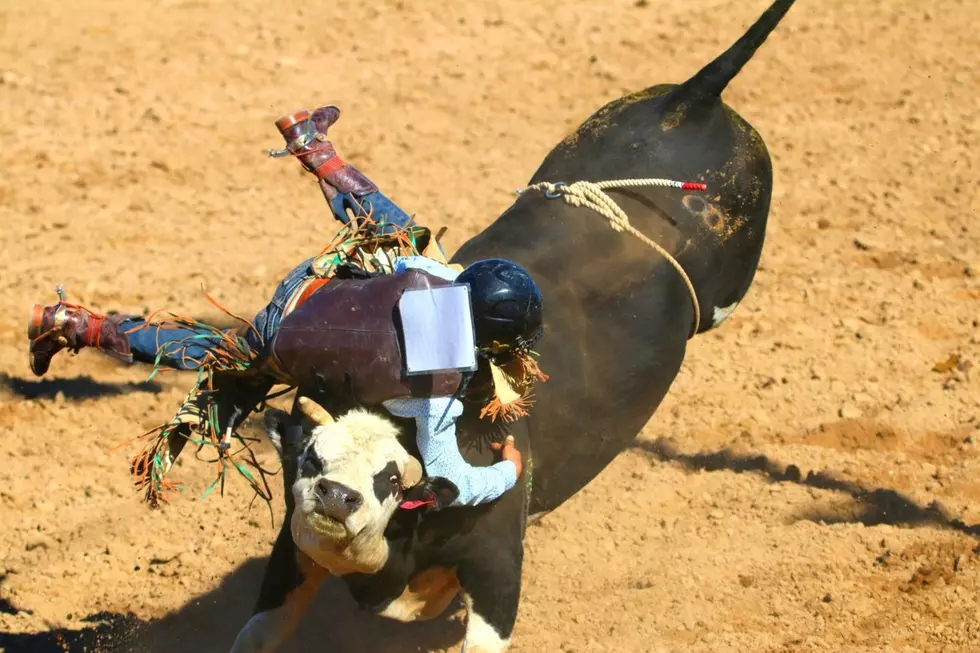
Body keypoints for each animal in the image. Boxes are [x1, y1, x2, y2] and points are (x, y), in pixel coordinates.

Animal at [235, 2, 796, 648]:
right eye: (311, 461)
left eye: (390, 480)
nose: (337, 494)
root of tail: (692, 99)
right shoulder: (293, 553)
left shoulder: (497, 563)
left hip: (731, 285)